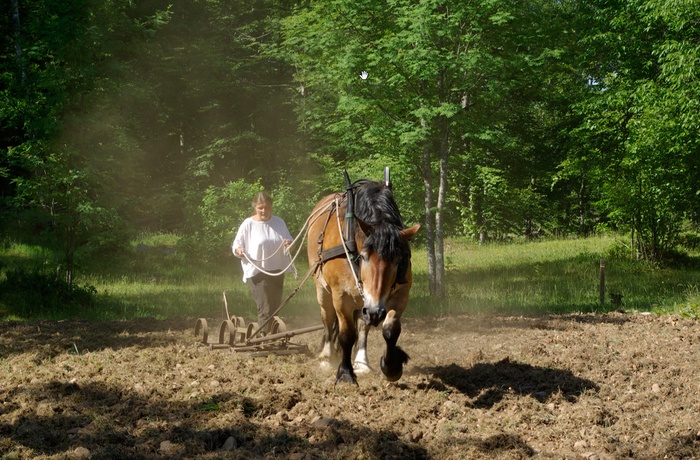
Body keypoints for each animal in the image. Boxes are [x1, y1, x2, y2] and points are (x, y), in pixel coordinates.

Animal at [308, 174, 418, 382]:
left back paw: (361, 362)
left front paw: (391, 366)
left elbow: (390, 329)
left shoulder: (401, 295)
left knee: (362, 325)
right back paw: (326, 357)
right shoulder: (341, 297)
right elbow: (346, 335)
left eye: (398, 259)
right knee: (327, 319)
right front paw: (344, 373)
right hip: (323, 289)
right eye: (364, 256)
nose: (375, 311)